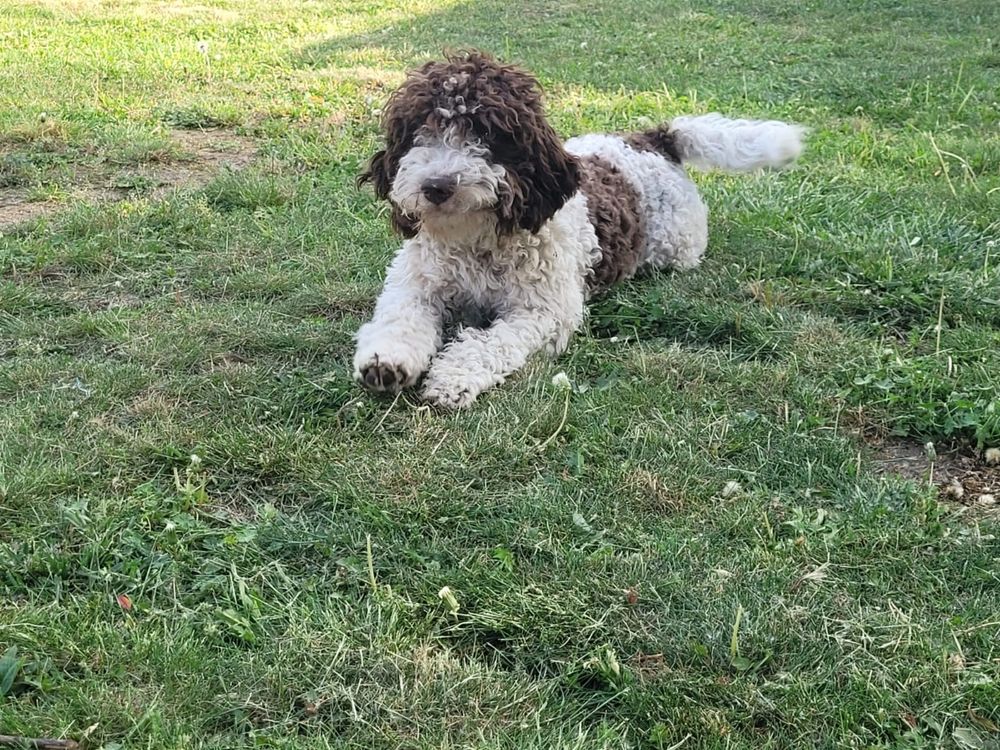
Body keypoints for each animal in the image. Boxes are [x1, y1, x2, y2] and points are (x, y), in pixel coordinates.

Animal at [352, 51, 804, 412]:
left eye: (484, 132)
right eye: (418, 131)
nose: (436, 186)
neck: (475, 241)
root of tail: (654, 140)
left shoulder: (543, 311)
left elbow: (490, 343)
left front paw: (452, 377)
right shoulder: (413, 285)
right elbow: (399, 319)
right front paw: (387, 362)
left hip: (679, 247)